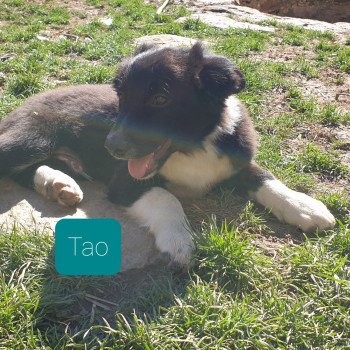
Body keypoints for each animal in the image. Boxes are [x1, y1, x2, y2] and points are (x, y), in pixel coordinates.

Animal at [0, 43, 336, 266]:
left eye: (161, 98)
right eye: (121, 95)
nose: (112, 147)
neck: (193, 149)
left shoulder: (237, 160)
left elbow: (265, 177)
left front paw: (303, 206)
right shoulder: (125, 180)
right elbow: (165, 197)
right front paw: (178, 240)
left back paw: (58, 185)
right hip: (31, 137)